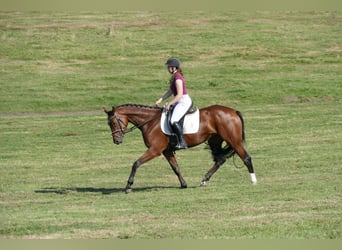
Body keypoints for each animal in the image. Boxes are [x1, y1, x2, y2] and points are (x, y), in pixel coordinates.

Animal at [104, 103, 256, 193]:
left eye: (112, 122)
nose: (116, 140)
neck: (150, 121)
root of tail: (233, 111)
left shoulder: (155, 150)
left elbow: (136, 163)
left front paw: (128, 186)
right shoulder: (166, 151)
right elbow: (175, 167)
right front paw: (183, 184)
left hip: (234, 141)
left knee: (246, 158)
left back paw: (253, 181)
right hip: (215, 141)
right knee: (220, 160)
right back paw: (204, 180)